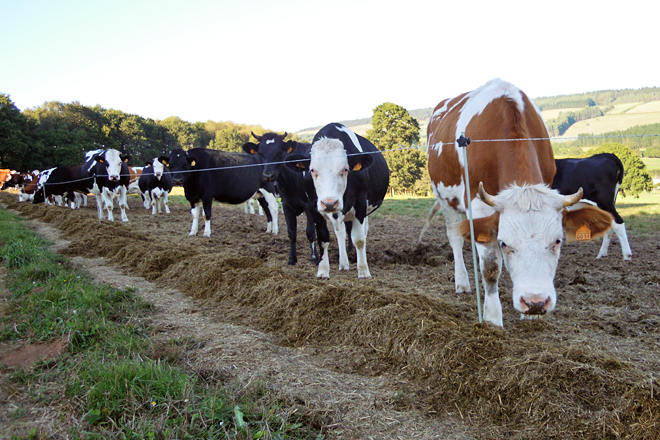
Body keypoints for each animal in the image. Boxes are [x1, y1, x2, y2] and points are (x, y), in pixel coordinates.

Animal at [243, 132, 330, 265]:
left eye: (279, 153)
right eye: (260, 153)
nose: (268, 175)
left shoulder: (308, 205)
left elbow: (310, 232)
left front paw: (314, 257)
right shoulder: (286, 204)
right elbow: (291, 232)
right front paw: (292, 258)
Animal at [285, 123, 389, 279]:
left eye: (345, 169)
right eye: (312, 170)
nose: (329, 203)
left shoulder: (360, 204)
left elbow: (359, 239)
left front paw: (363, 271)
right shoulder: (314, 207)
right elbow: (323, 238)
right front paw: (323, 271)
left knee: (362, 231)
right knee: (340, 232)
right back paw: (343, 263)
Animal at [426, 78, 613, 327]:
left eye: (557, 241)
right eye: (504, 243)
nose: (535, 302)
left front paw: (529, 315)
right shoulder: (478, 206)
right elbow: (491, 267)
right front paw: (493, 318)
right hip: (443, 196)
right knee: (455, 238)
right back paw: (463, 283)